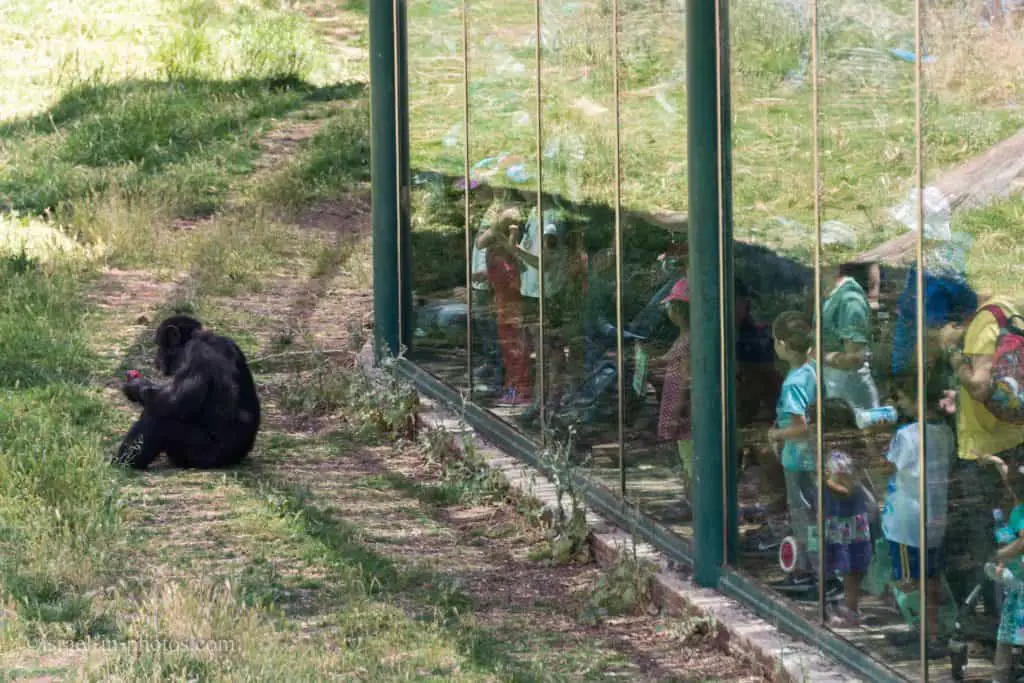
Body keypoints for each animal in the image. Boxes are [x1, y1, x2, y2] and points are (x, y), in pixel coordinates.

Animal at [114, 315, 262, 471]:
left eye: (159, 345)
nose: (156, 360)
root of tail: (237, 459)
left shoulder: (196, 354)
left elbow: (173, 402)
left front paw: (135, 386)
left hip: (202, 455)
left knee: (160, 419)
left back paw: (123, 463)